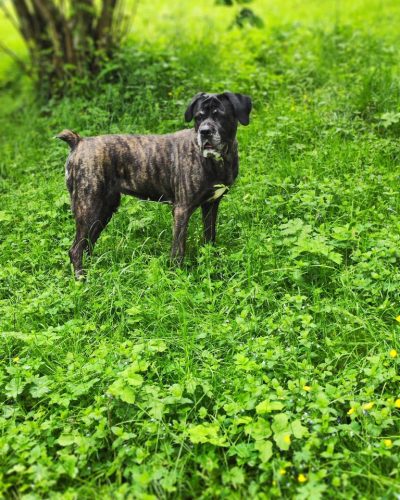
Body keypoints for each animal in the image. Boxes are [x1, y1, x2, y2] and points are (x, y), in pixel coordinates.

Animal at [57, 92, 250, 280]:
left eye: (219, 115)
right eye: (198, 117)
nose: (205, 132)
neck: (217, 161)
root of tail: (78, 141)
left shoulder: (211, 204)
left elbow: (210, 237)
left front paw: (212, 262)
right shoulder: (181, 210)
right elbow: (178, 249)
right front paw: (176, 276)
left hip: (104, 209)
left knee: (88, 245)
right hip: (88, 207)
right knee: (76, 249)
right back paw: (81, 279)